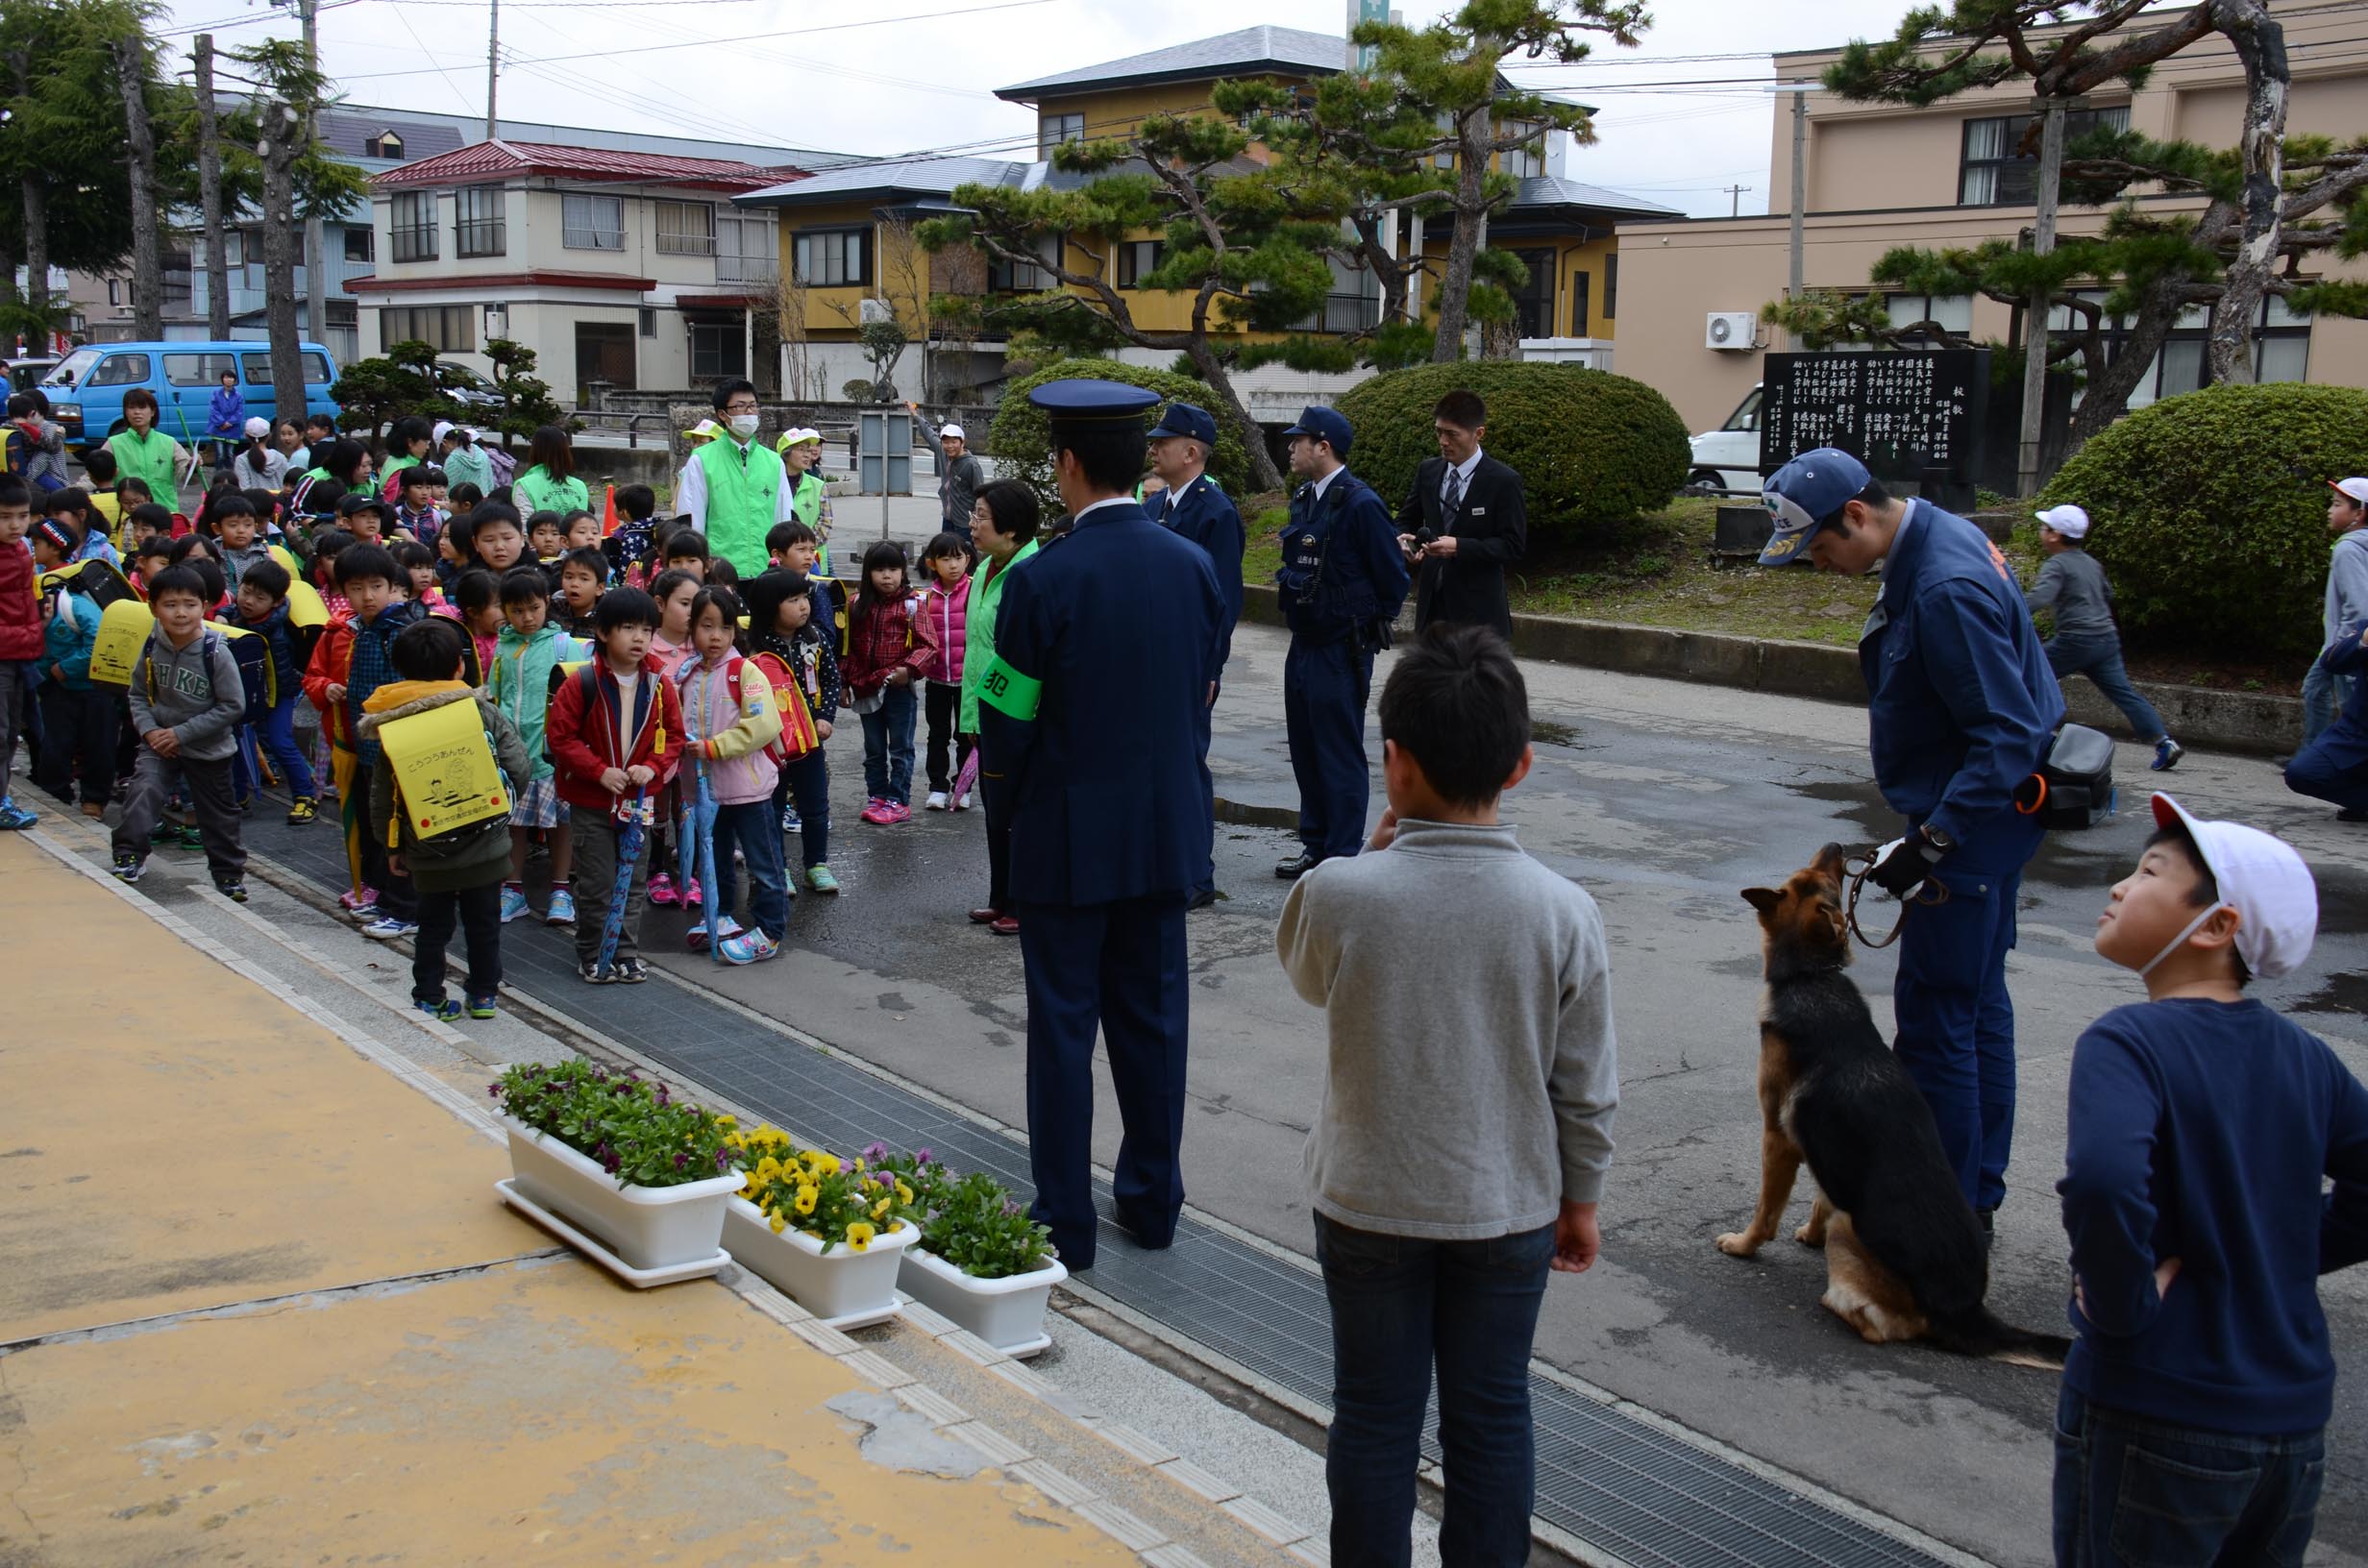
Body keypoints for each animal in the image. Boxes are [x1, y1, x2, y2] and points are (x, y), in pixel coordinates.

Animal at [1723, 843, 2074, 1373]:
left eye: (1818, 878)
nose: (1839, 848)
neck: (1811, 976)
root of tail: (1967, 1309)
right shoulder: (1826, 1153)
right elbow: (1823, 1196)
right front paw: (1808, 1232)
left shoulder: (1778, 1139)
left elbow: (1766, 1211)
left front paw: (1743, 1245)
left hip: (1852, 1232)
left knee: (1886, 1326)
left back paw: (1835, 1304)